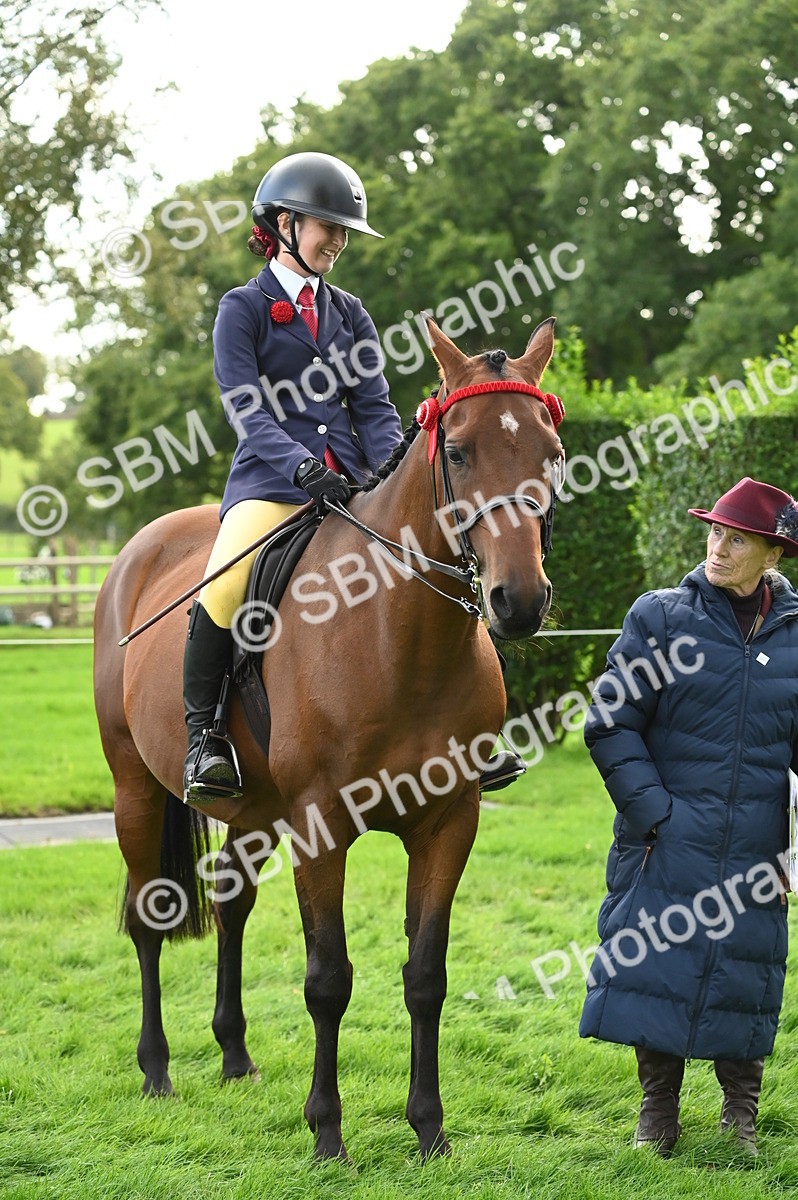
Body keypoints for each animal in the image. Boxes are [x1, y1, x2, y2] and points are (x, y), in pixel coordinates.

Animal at [93, 314, 565, 1163]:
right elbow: (328, 981)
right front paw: (327, 1134)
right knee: (150, 917)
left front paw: (430, 1131)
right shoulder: (320, 827)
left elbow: (426, 975)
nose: (519, 601)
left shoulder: (450, 822)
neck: (395, 633)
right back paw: (157, 1070)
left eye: (550, 451)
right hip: (134, 789)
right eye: (458, 451)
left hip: (251, 814)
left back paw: (235, 1054)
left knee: (233, 905)